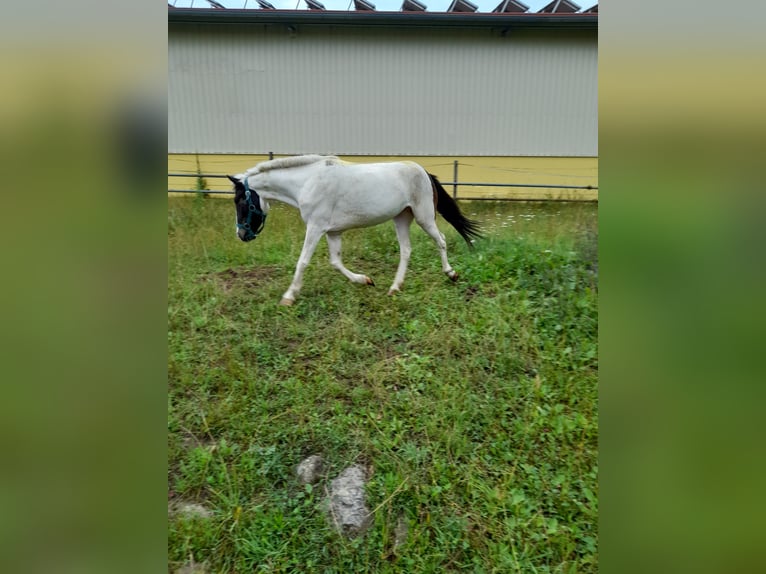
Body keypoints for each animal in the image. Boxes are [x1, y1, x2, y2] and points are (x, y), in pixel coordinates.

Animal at [228, 155, 481, 306]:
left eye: (239, 200)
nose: (241, 235)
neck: (308, 182)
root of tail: (424, 172)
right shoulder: (332, 232)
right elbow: (335, 262)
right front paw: (365, 280)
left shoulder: (316, 227)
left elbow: (303, 261)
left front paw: (288, 297)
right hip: (401, 218)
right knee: (406, 250)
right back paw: (394, 288)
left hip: (424, 217)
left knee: (441, 240)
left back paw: (451, 273)